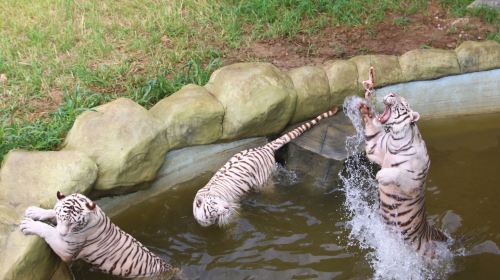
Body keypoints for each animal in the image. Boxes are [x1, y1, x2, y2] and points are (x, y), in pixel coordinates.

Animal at [20, 191, 180, 278]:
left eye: (73, 224)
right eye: (61, 218)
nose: (63, 233)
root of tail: (169, 268)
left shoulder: (66, 249)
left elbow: (49, 231)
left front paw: (29, 225)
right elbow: (51, 214)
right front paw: (34, 211)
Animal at [193, 106, 338, 226]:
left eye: (219, 200)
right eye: (214, 204)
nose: (227, 206)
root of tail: (263, 147)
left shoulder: (234, 206)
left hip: (264, 183)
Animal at [358, 68, 448, 258]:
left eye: (403, 103)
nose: (391, 93)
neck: (395, 140)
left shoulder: (414, 180)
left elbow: (398, 173)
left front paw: (381, 175)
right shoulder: (377, 147)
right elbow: (372, 135)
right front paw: (366, 104)